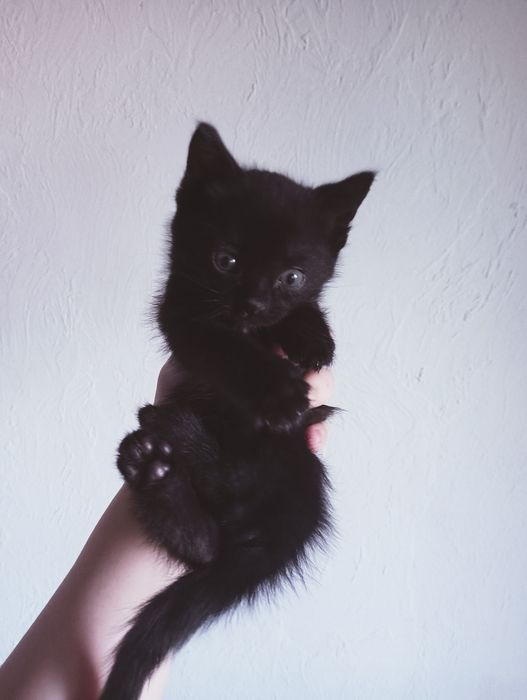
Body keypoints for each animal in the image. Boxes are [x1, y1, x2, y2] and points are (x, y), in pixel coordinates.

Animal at [100, 123, 374, 699]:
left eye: (292, 276)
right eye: (225, 260)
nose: (252, 304)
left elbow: (306, 317)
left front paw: (313, 336)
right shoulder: (181, 309)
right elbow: (220, 343)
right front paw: (277, 392)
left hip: (281, 461)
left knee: (210, 541)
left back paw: (160, 453)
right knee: (209, 531)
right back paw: (164, 445)